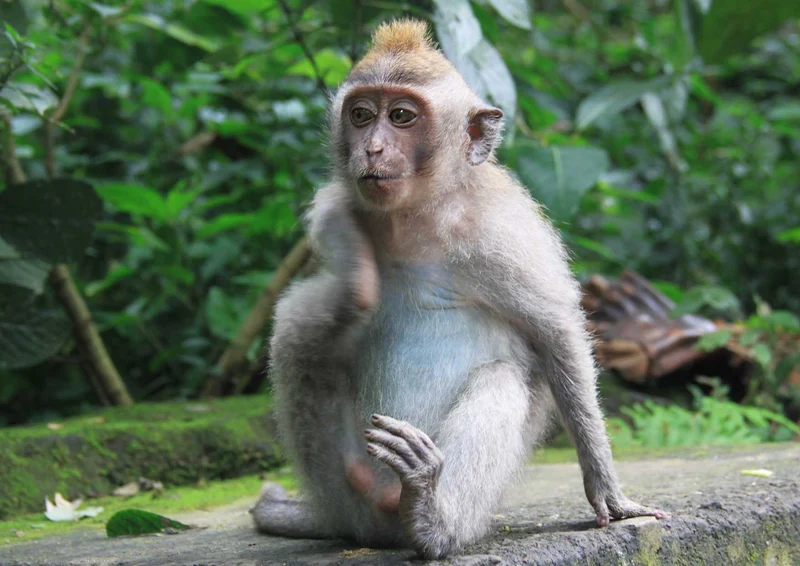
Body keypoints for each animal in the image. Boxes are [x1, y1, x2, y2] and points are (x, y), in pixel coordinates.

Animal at [251, 19, 666, 559]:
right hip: (349, 490)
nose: (372, 148)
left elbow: (556, 335)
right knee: (296, 333)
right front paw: (355, 270)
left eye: (401, 116)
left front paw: (609, 494)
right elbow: (330, 277)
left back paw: (430, 516)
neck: (417, 218)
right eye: (361, 116)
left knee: (502, 377)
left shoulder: (503, 231)